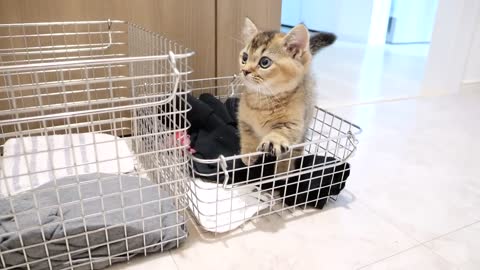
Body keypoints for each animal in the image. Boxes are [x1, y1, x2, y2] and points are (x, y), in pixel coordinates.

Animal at [238, 17, 336, 167]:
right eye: (244, 57)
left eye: (264, 62)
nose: (245, 71)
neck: (262, 101)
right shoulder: (244, 120)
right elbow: (247, 135)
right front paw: (248, 154)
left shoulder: (295, 123)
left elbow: (283, 133)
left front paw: (273, 141)